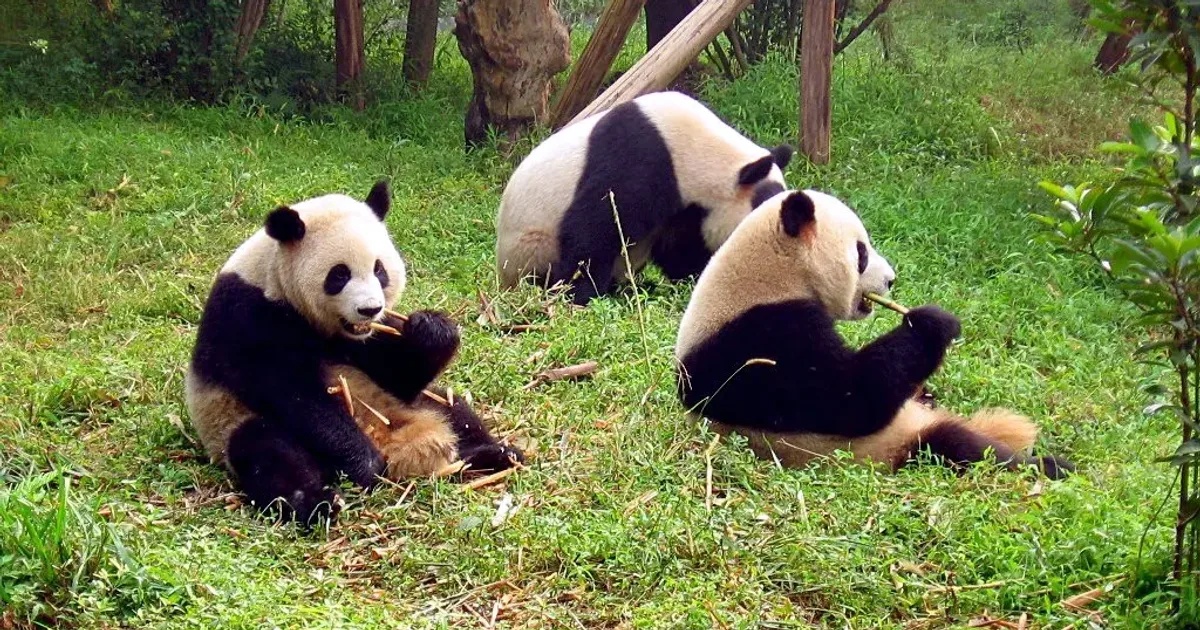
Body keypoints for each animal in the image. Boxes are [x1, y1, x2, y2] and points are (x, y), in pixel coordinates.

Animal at [186, 181, 523, 524]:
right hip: (230, 420)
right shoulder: (248, 317)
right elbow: (295, 394)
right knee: (269, 452)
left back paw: (494, 454)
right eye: (339, 275)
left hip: (411, 404)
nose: (369, 309)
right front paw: (364, 462)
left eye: (379, 270)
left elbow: (399, 375)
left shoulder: (366, 337)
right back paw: (318, 501)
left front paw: (432, 330)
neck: (274, 278)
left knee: (453, 408)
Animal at [496, 91, 793, 305]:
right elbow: (594, 229)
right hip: (530, 246)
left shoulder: (685, 207)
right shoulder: (638, 160)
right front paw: (580, 294)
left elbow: (681, 244)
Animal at [674, 189, 1072, 478]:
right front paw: (932, 323)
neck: (770, 274)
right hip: (895, 444)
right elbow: (850, 398)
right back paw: (1049, 466)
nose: (891, 280)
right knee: (960, 447)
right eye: (861, 252)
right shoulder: (761, 338)